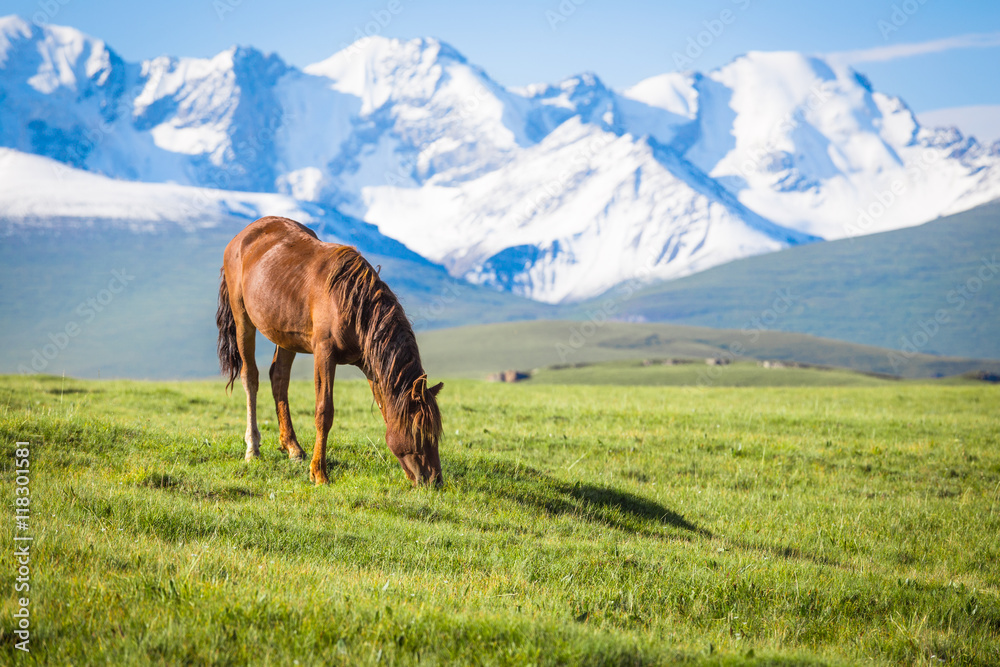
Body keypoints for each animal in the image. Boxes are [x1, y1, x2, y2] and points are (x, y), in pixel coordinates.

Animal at [217, 218, 444, 486]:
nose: (435, 480)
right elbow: (324, 412)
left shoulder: (371, 367)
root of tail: (242, 236)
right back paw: (252, 449)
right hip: (243, 320)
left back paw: (293, 447)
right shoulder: (324, 354)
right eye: (419, 431)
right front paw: (319, 473)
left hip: (285, 335)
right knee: (250, 378)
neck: (351, 304)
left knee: (279, 378)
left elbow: (384, 409)